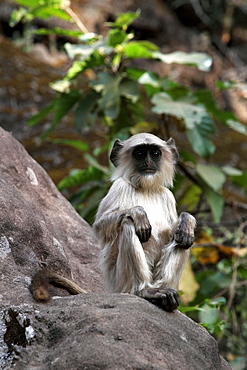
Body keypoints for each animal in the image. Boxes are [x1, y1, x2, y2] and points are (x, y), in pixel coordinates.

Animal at [93, 133, 196, 312]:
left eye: (154, 154)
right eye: (139, 154)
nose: (148, 163)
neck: (146, 189)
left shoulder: (167, 195)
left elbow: (176, 229)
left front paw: (186, 221)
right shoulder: (119, 186)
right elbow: (100, 227)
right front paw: (138, 213)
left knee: (183, 240)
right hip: (118, 283)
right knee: (128, 224)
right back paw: (145, 291)